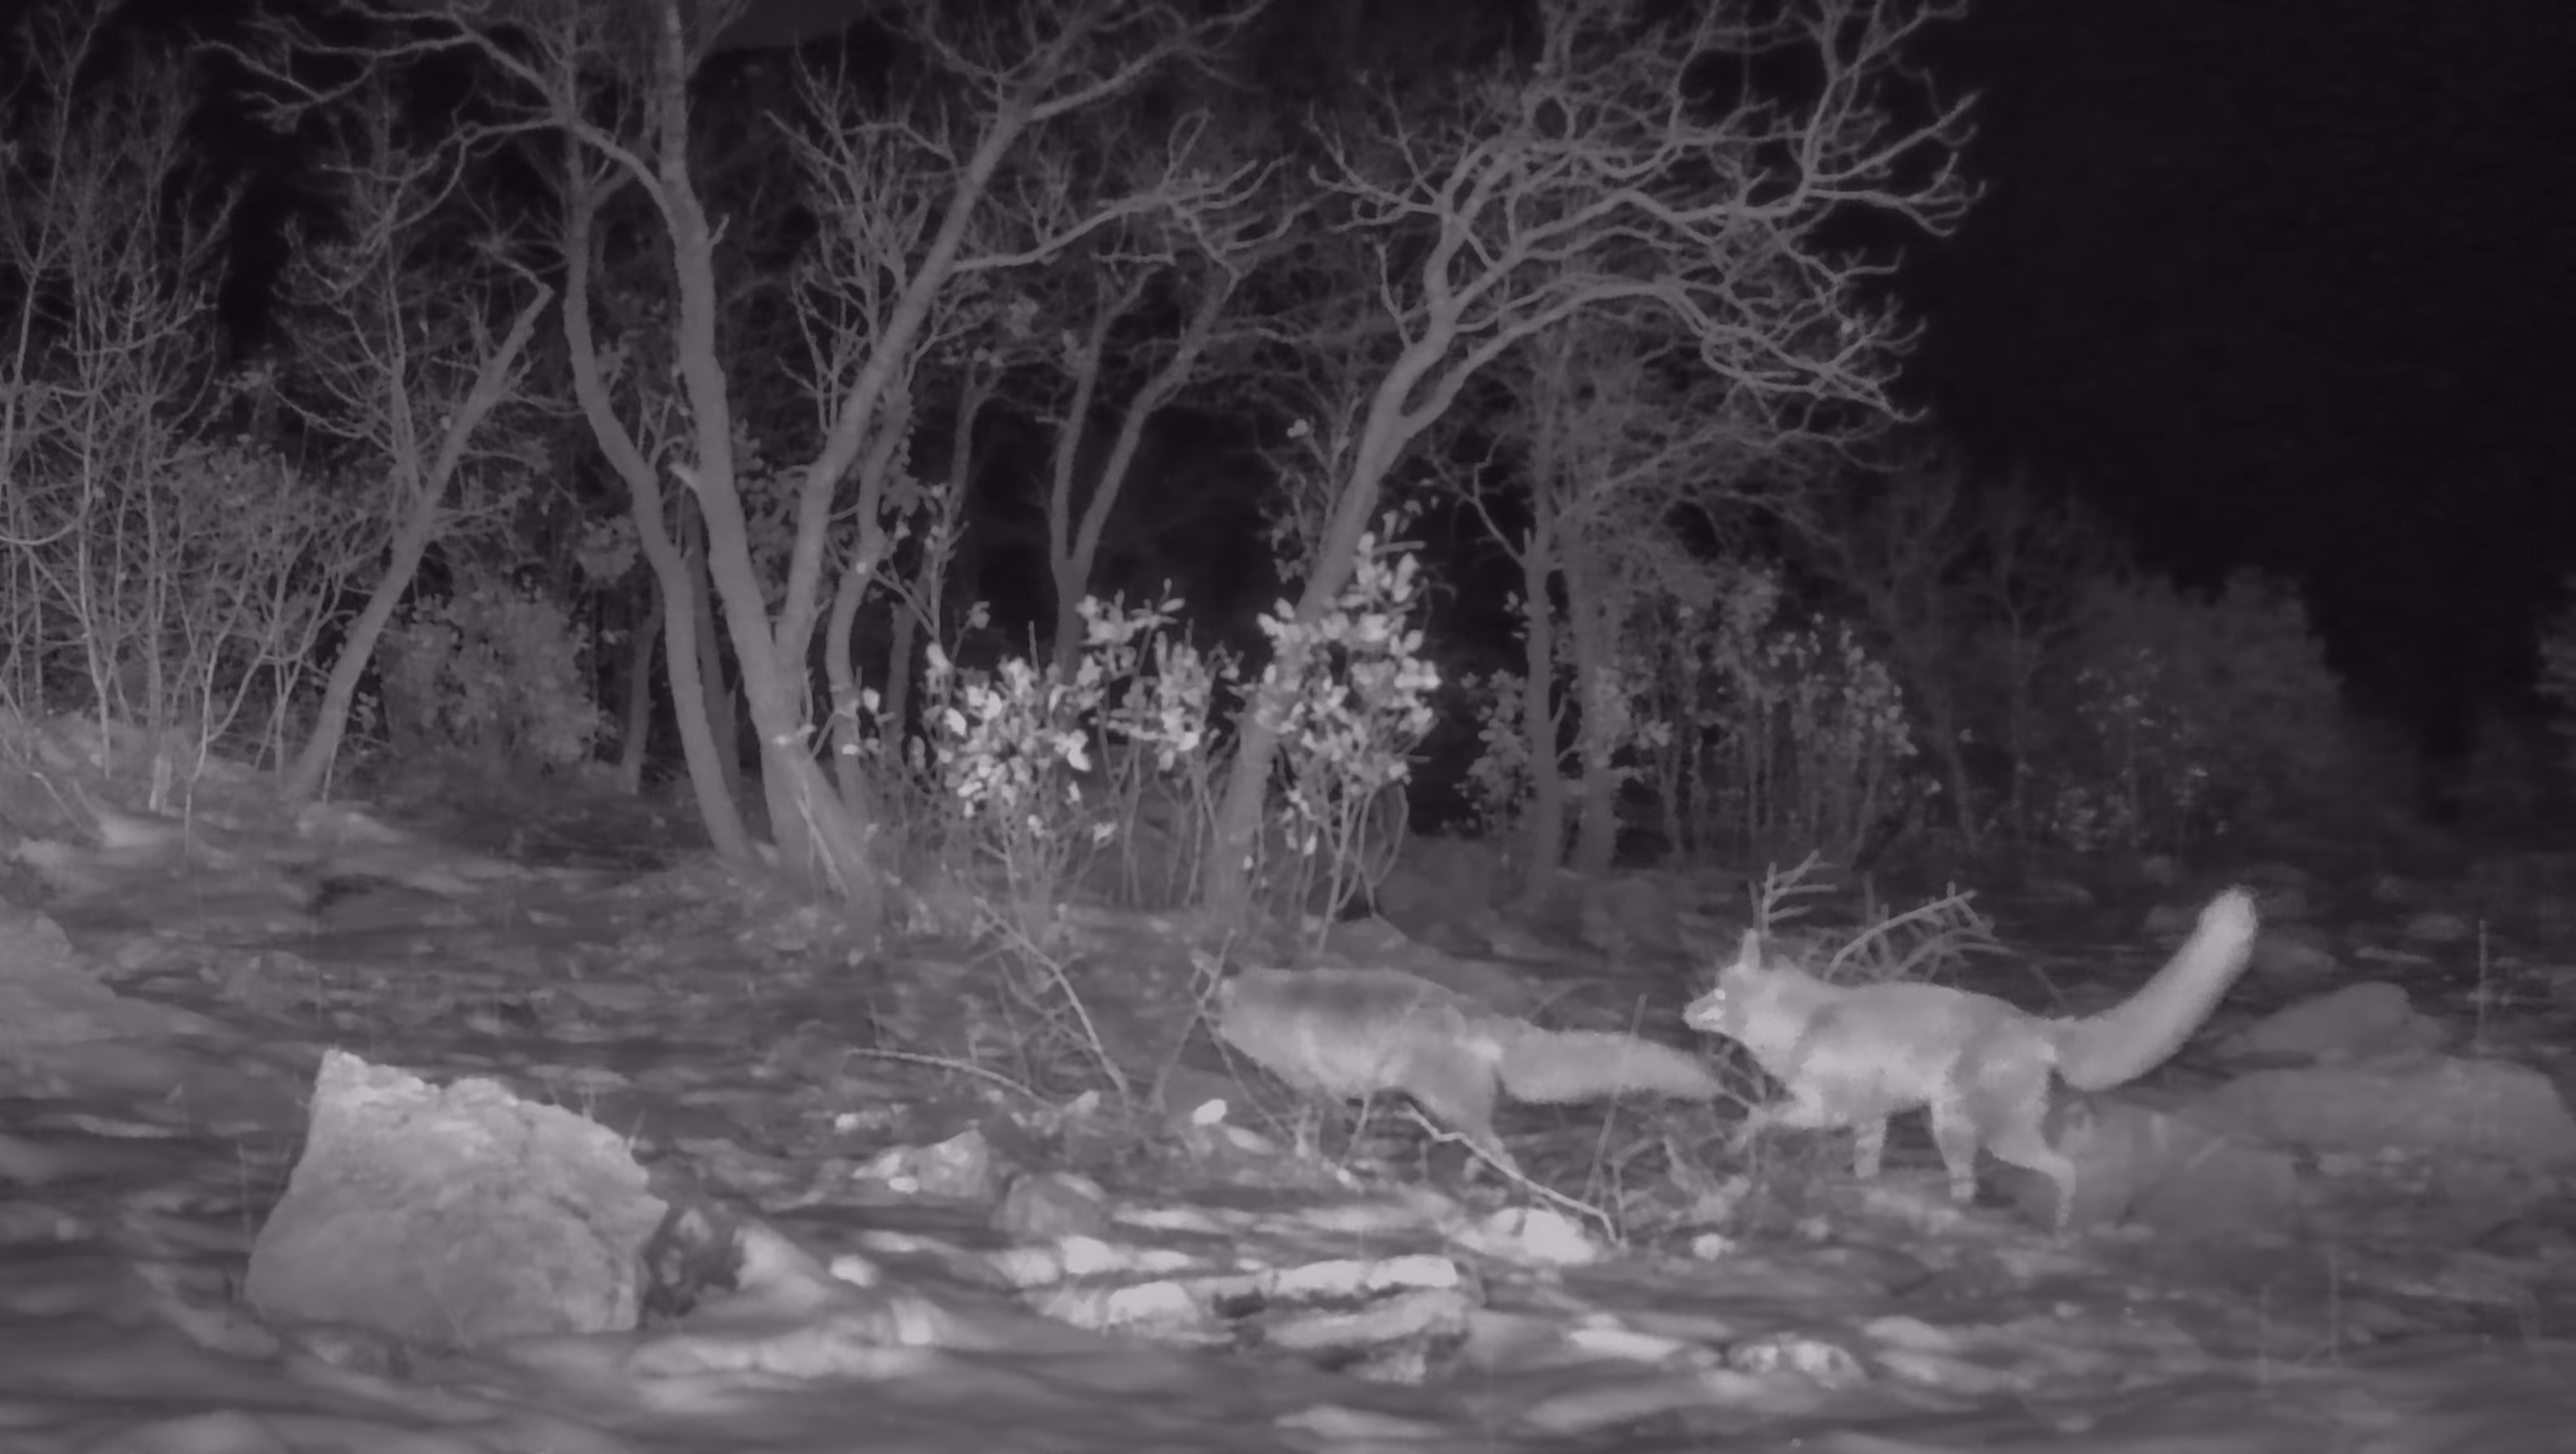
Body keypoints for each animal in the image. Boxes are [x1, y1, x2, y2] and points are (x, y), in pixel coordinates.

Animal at [1212, 965, 1722, 1178]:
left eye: (1218, 1013)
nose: (1210, 1026)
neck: (1279, 1008)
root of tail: (1478, 1014)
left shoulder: (1315, 1084)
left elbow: (1305, 1127)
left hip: (1449, 1107)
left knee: (1502, 1152)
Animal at [1682, 887, 2260, 1230]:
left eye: (1717, 993)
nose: (1683, 1012)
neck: (1801, 1023)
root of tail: (2033, 1022)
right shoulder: (1870, 1119)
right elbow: (1863, 1165)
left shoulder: (1829, 1109)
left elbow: (1757, 1116)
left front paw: (1733, 1145)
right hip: (1963, 1131)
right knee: (1991, 1182)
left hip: (1969, 1129)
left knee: (2056, 1170)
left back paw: (2057, 1225)